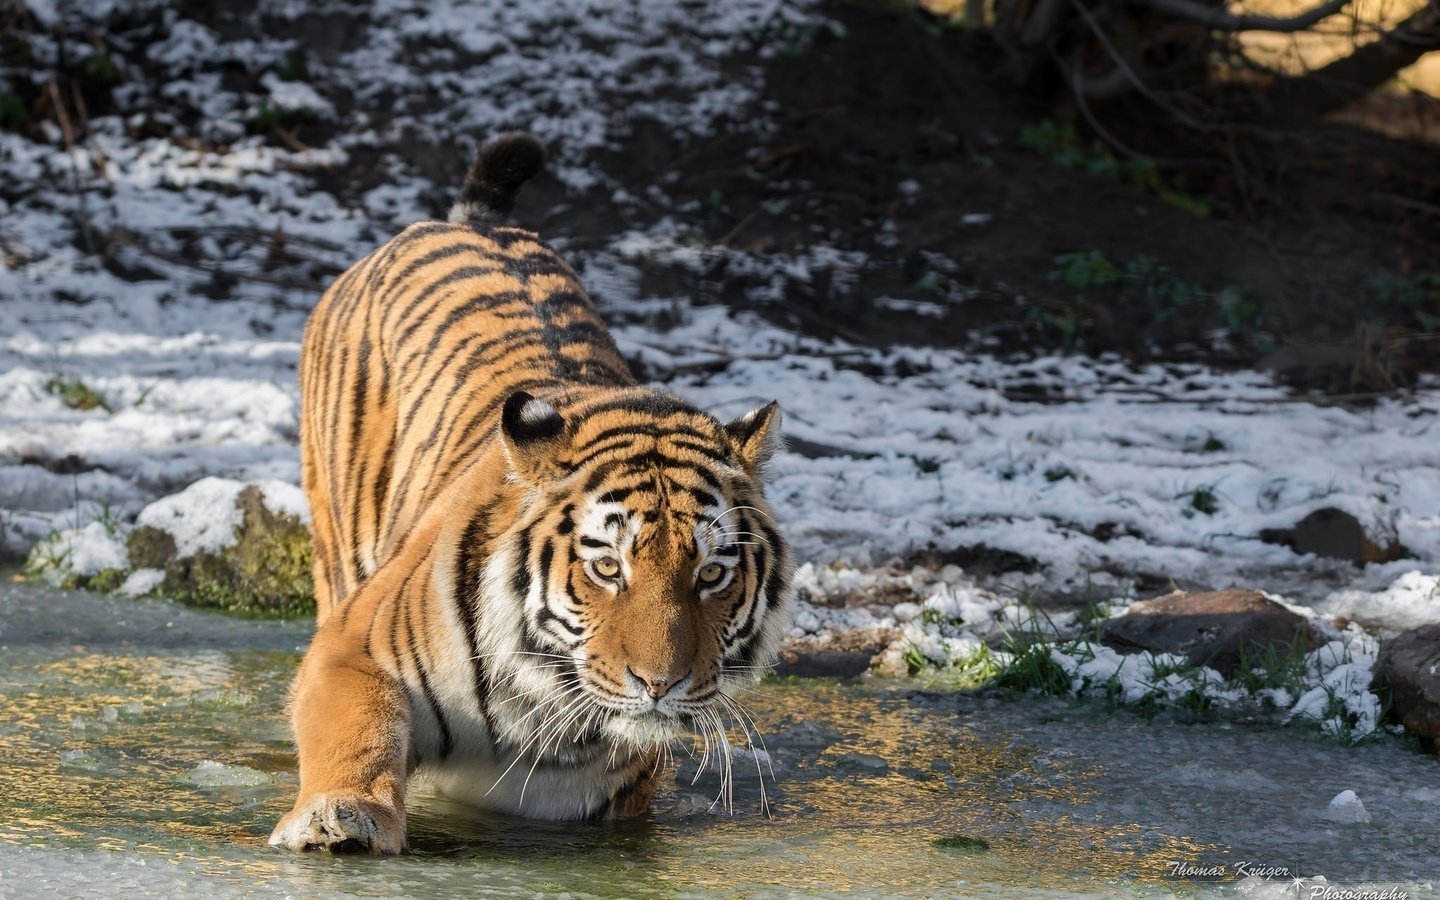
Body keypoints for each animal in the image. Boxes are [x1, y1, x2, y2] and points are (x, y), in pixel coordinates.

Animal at [270, 129, 800, 852]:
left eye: (712, 575)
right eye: (608, 568)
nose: (660, 685)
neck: (535, 698)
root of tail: (470, 223)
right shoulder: (353, 649)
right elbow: (359, 732)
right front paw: (341, 817)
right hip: (336, 553)